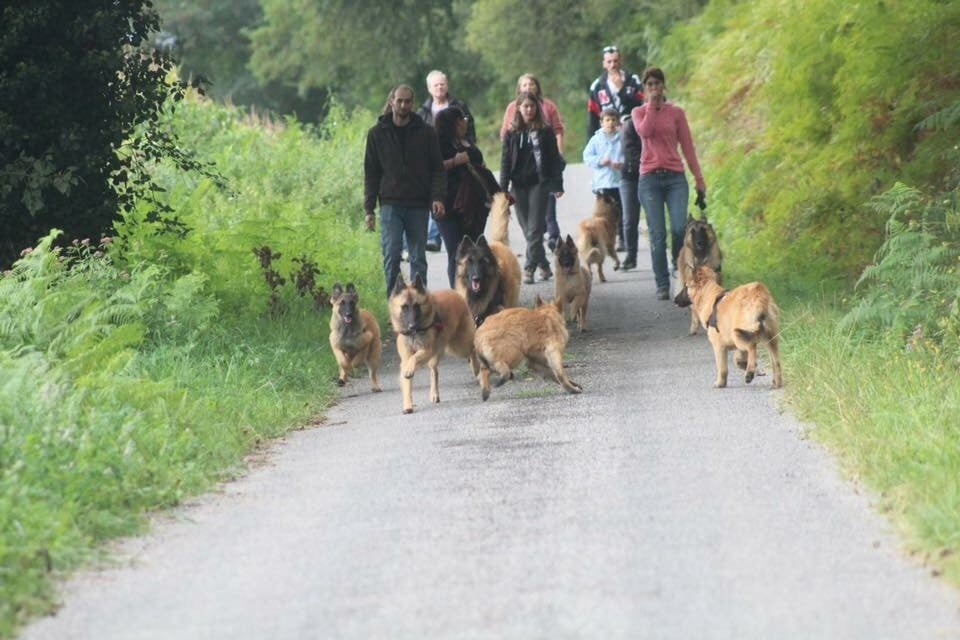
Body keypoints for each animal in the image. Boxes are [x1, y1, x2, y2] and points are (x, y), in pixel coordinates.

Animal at [390, 272, 480, 412]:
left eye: (416, 306)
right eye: (404, 307)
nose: (411, 327)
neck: (414, 334)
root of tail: (456, 294)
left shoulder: (427, 350)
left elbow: (415, 358)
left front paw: (410, 369)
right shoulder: (406, 358)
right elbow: (407, 382)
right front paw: (408, 404)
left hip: (458, 346)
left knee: (472, 348)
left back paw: (475, 366)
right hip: (439, 355)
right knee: (434, 371)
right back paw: (434, 394)